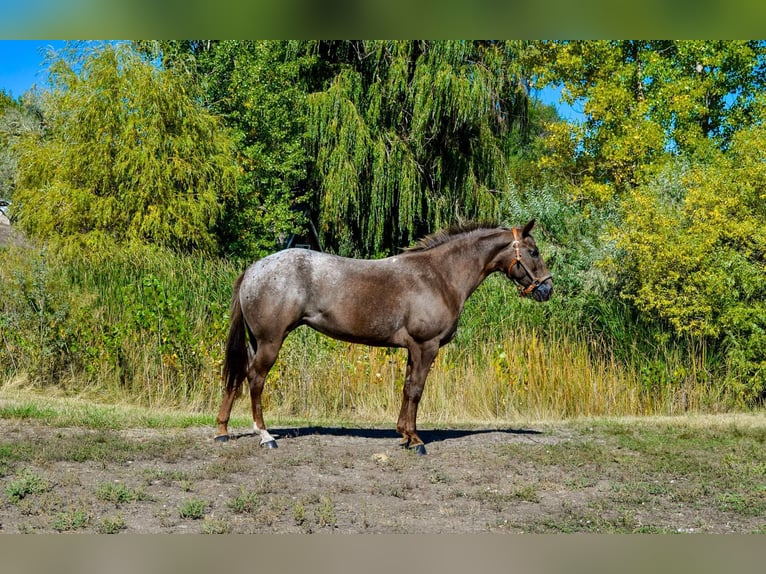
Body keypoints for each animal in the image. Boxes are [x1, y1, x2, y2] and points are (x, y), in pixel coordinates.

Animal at [213, 219, 556, 454]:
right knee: (255, 379)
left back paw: (222, 430)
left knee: (239, 376)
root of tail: (253, 269)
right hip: (270, 342)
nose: (547, 289)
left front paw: (404, 433)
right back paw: (265, 435)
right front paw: (415, 440)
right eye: (534, 251)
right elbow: (416, 390)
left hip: (256, 342)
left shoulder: (413, 349)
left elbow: (407, 388)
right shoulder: (426, 346)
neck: (438, 276)